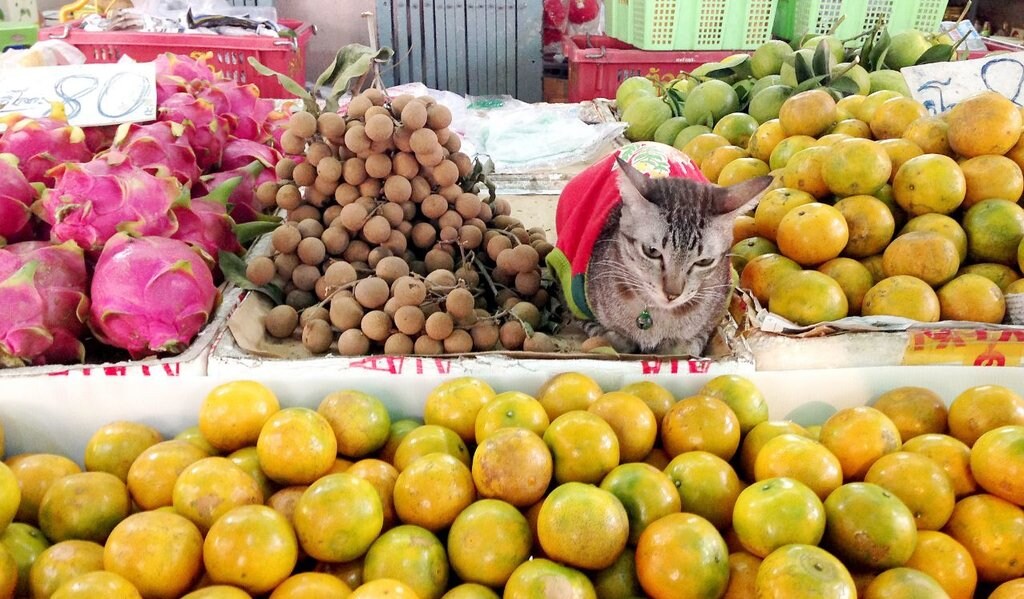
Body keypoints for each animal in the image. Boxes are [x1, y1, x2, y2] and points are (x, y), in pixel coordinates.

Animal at [548, 140, 770, 354]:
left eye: (704, 261)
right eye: (652, 251)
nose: (673, 294)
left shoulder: (718, 309)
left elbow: (692, 342)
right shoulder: (572, 297)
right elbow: (606, 334)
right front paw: (615, 337)